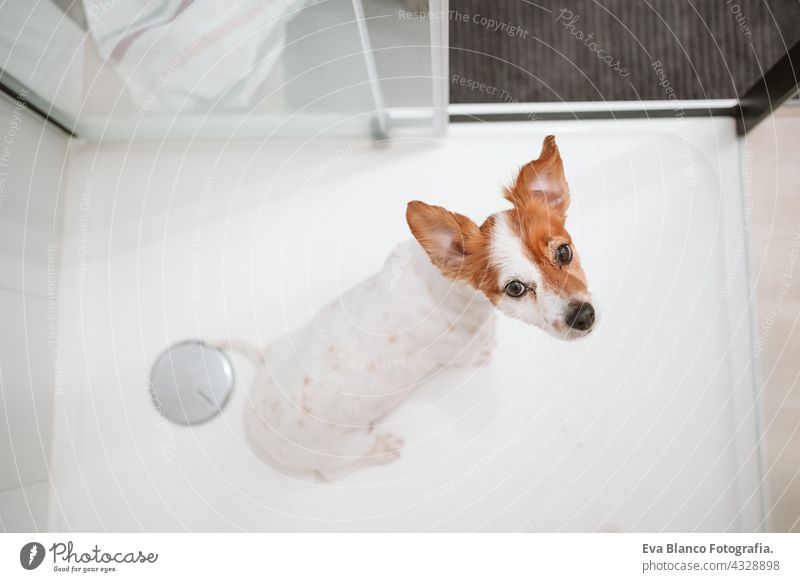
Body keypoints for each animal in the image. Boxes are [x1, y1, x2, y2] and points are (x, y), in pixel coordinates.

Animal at [244, 137, 592, 484]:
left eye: (564, 252)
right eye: (515, 288)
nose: (584, 316)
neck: (450, 290)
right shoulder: (462, 351)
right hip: (336, 452)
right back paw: (381, 448)